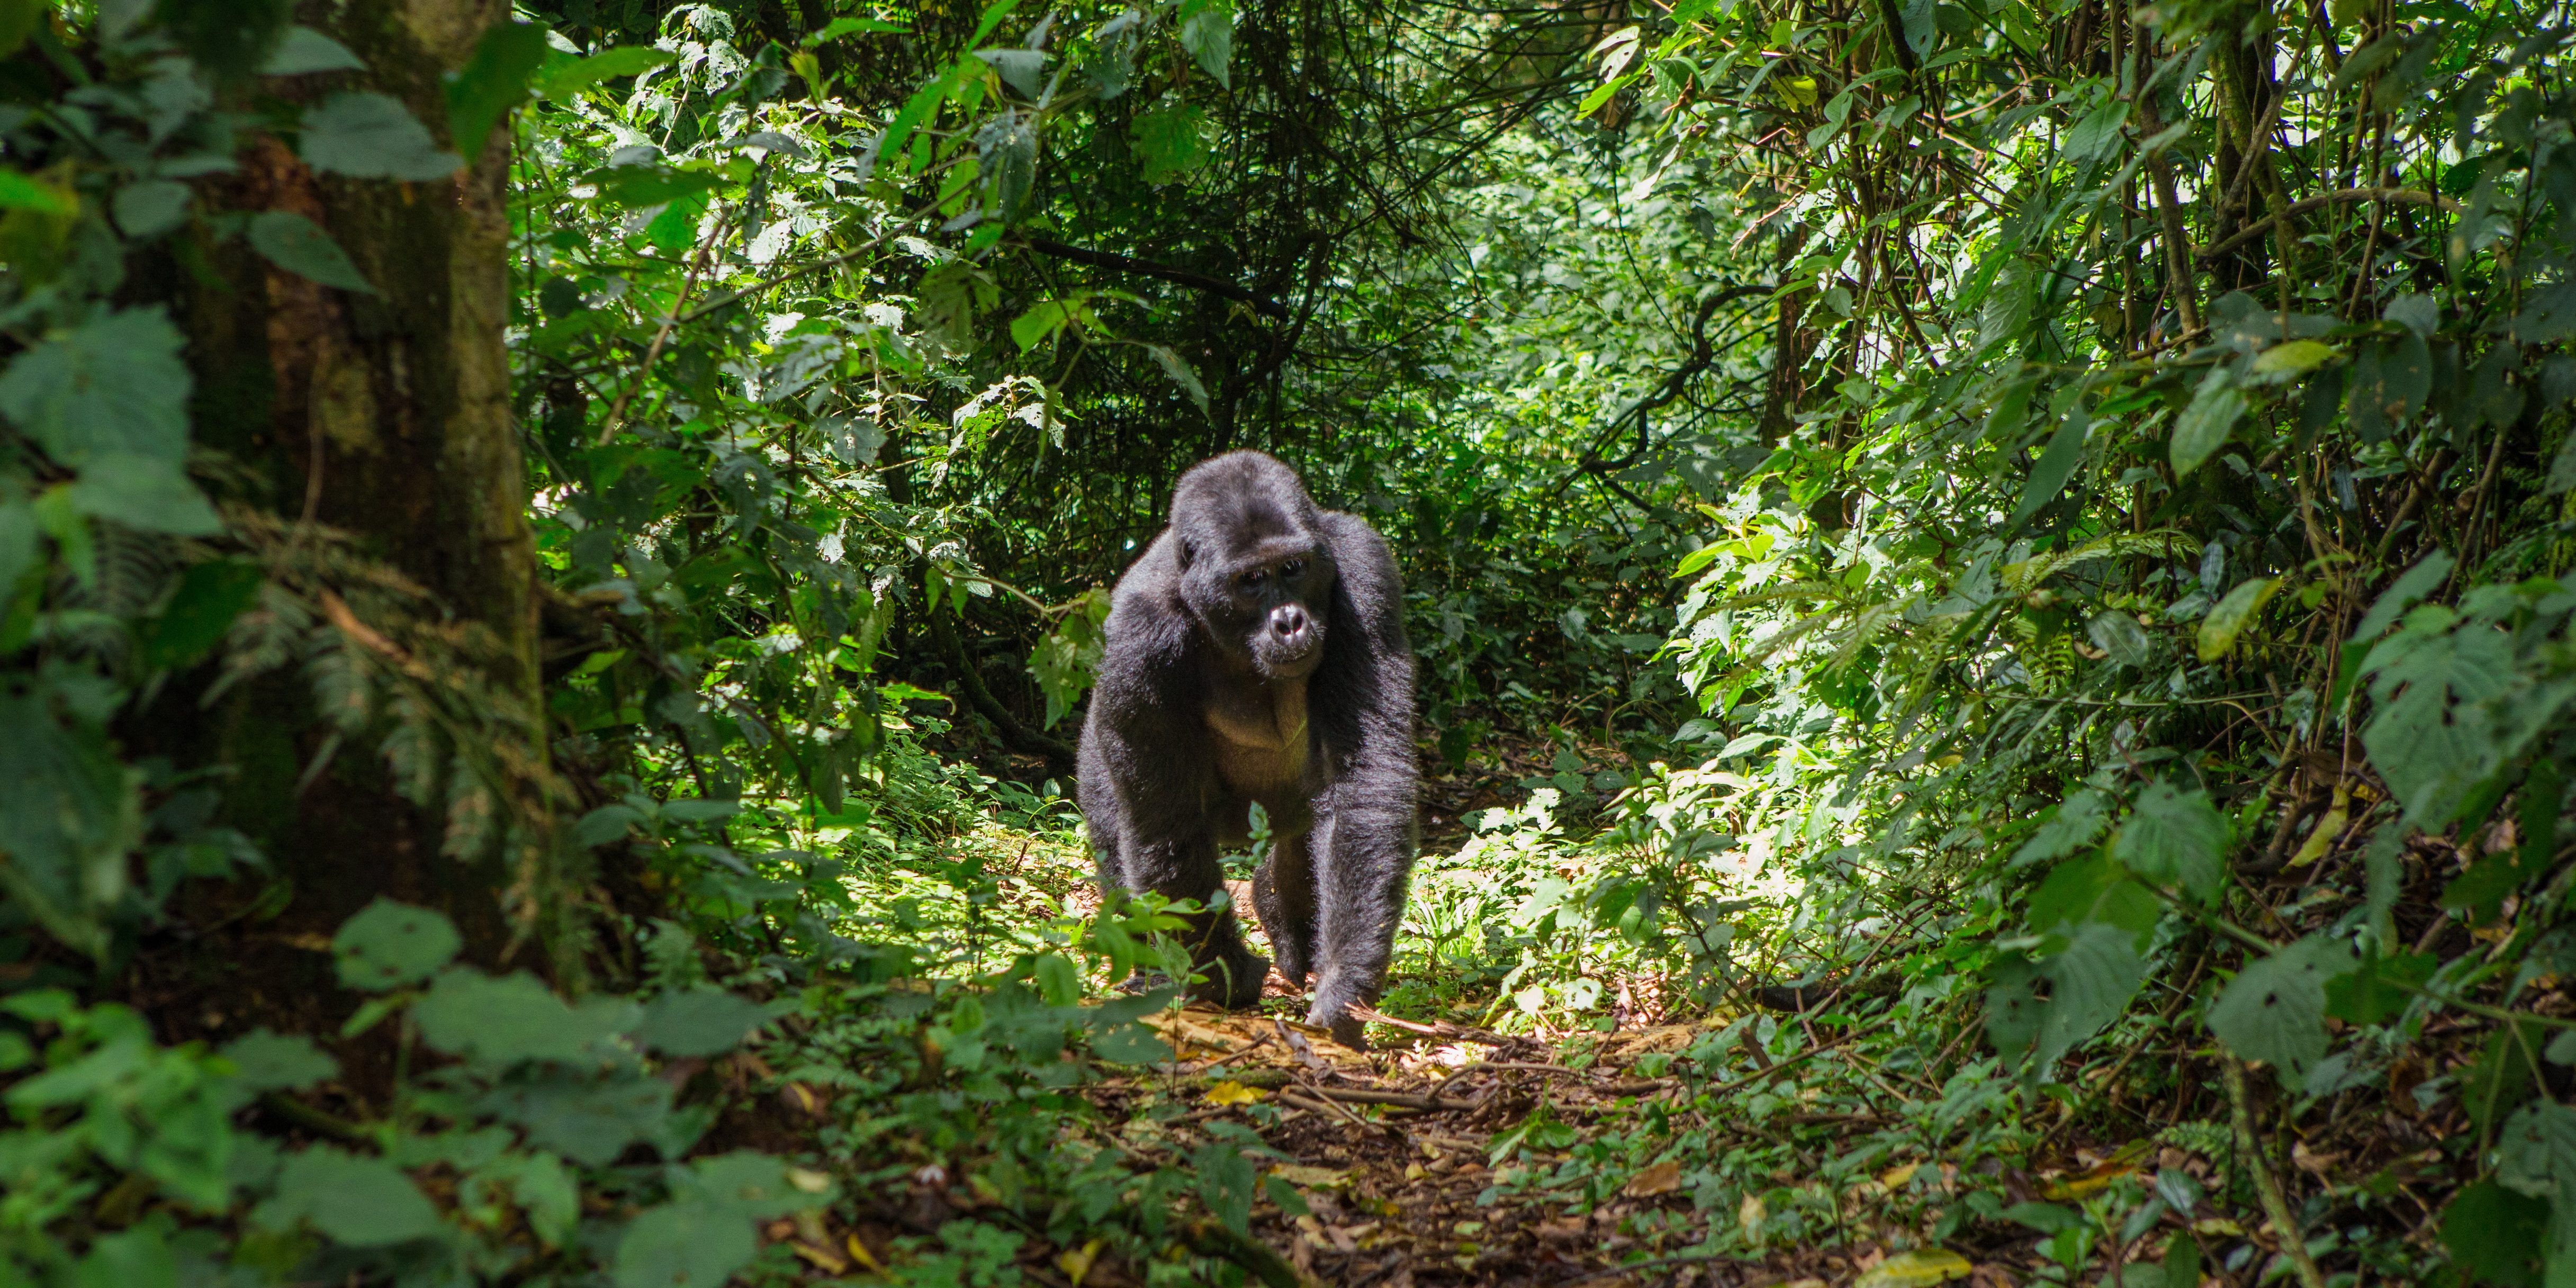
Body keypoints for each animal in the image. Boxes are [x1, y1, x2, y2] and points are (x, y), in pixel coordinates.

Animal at [1077, 451, 1418, 1047]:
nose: (1291, 622)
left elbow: (1363, 781)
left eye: (1293, 569)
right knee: (1118, 833)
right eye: (1251, 581)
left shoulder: (1363, 568)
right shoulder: (1137, 637)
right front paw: (1224, 978)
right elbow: (1168, 825)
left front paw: (1345, 982)